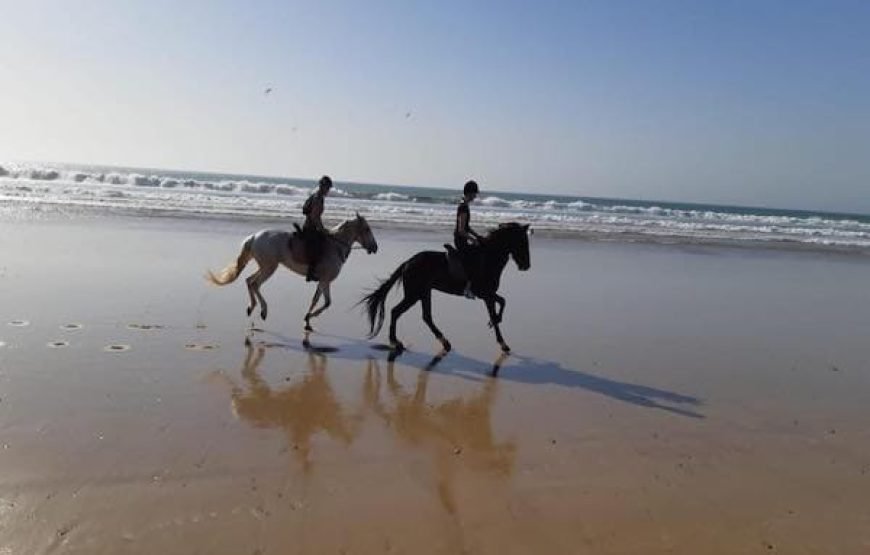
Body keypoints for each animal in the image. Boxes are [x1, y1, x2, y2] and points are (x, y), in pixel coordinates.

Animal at [208, 213, 378, 331]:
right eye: (367, 229)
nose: (375, 247)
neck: (335, 246)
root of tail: (254, 236)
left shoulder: (322, 282)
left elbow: (315, 300)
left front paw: (307, 321)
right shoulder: (325, 281)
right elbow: (327, 303)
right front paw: (311, 316)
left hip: (265, 266)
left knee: (249, 281)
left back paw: (252, 307)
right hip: (269, 267)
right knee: (255, 284)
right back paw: (263, 310)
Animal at [361, 222, 530, 354]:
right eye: (523, 242)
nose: (526, 266)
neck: (489, 258)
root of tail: (408, 262)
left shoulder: (489, 295)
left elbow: (499, 306)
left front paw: (496, 327)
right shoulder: (485, 294)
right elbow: (500, 306)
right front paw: (503, 343)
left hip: (424, 292)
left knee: (426, 316)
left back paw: (444, 342)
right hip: (414, 294)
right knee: (396, 311)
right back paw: (395, 342)